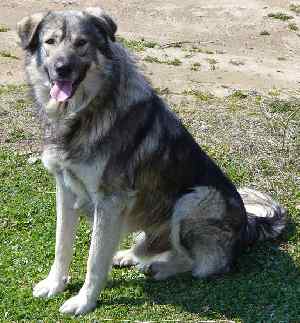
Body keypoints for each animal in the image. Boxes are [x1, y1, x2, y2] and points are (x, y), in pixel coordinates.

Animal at [17, 6, 288, 316]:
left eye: (81, 43)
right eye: (50, 42)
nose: (62, 68)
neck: (85, 112)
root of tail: (248, 225)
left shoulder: (109, 201)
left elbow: (94, 260)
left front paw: (84, 301)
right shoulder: (66, 189)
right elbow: (62, 245)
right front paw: (54, 284)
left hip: (194, 199)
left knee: (203, 265)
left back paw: (159, 267)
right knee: (153, 247)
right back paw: (129, 255)